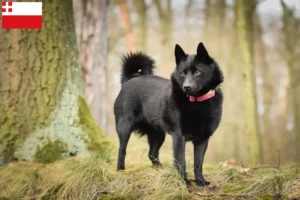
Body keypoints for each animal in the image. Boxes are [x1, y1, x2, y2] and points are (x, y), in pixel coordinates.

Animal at [114, 42, 223, 186]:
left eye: (197, 72)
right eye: (182, 73)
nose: (186, 87)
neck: (196, 102)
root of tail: (130, 79)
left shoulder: (203, 138)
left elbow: (198, 162)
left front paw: (200, 181)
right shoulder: (179, 136)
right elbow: (181, 161)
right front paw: (184, 181)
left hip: (158, 133)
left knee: (152, 153)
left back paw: (161, 169)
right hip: (124, 127)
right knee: (122, 150)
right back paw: (120, 170)